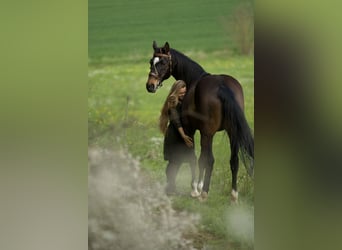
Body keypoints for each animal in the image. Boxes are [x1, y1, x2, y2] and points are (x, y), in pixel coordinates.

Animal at [146, 40, 252, 201]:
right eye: (151, 62)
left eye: (163, 62)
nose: (150, 85)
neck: (193, 79)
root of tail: (222, 86)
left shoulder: (191, 130)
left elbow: (194, 157)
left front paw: (195, 188)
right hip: (232, 132)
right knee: (233, 160)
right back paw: (233, 195)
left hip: (208, 134)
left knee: (209, 159)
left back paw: (204, 193)